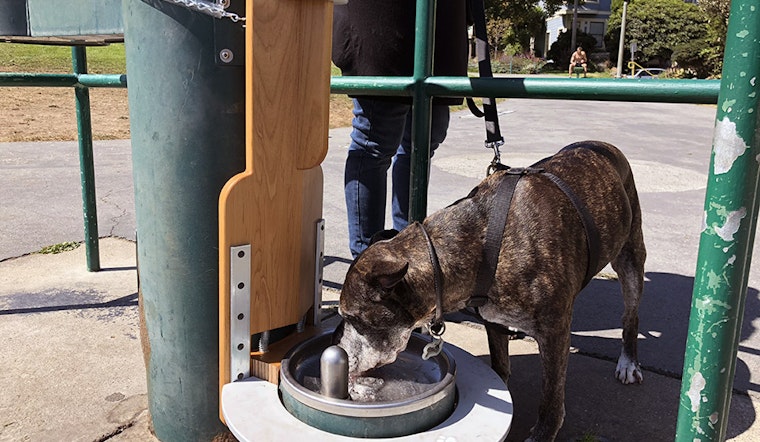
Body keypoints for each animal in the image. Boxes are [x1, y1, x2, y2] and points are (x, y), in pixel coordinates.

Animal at [336, 142, 644, 442]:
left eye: (352, 318)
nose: (339, 347)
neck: (476, 244)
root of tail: (605, 146)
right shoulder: (494, 321)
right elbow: (500, 365)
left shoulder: (555, 332)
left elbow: (551, 395)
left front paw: (543, 433)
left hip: (630, 256)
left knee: (631, 314)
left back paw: (629, 362)